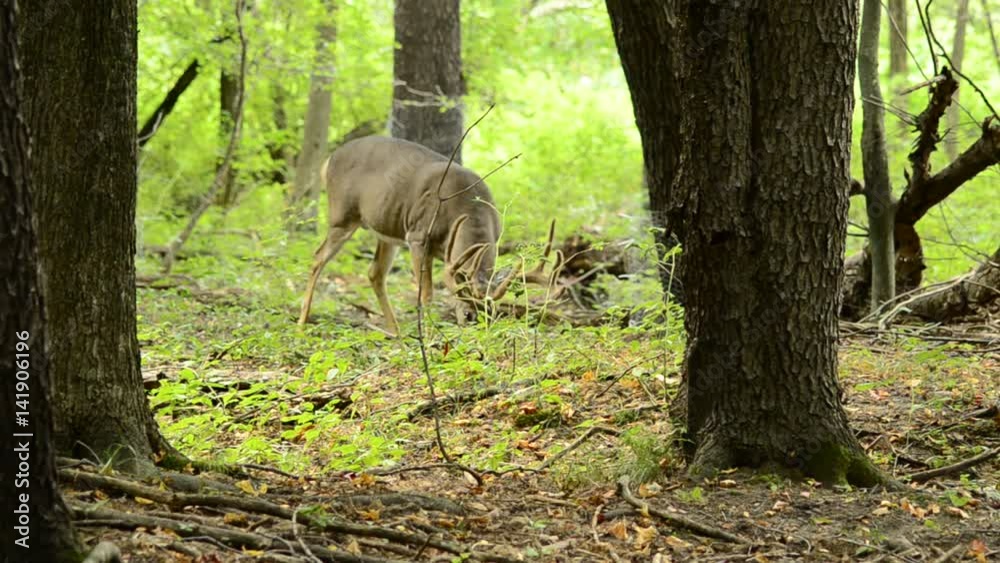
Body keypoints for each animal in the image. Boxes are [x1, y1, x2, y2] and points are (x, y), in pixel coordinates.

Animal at [296, 135, 564, 334]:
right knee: (317, 258)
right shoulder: (417, 236)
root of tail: (329, 160)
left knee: (375, 273)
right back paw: (301, 325)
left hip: (386, 229)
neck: (467, 209)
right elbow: (426, 295)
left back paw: (396, 335)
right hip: (342, 216)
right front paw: (428, 335)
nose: (474, 321)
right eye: (467, 301)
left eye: (491, 310)